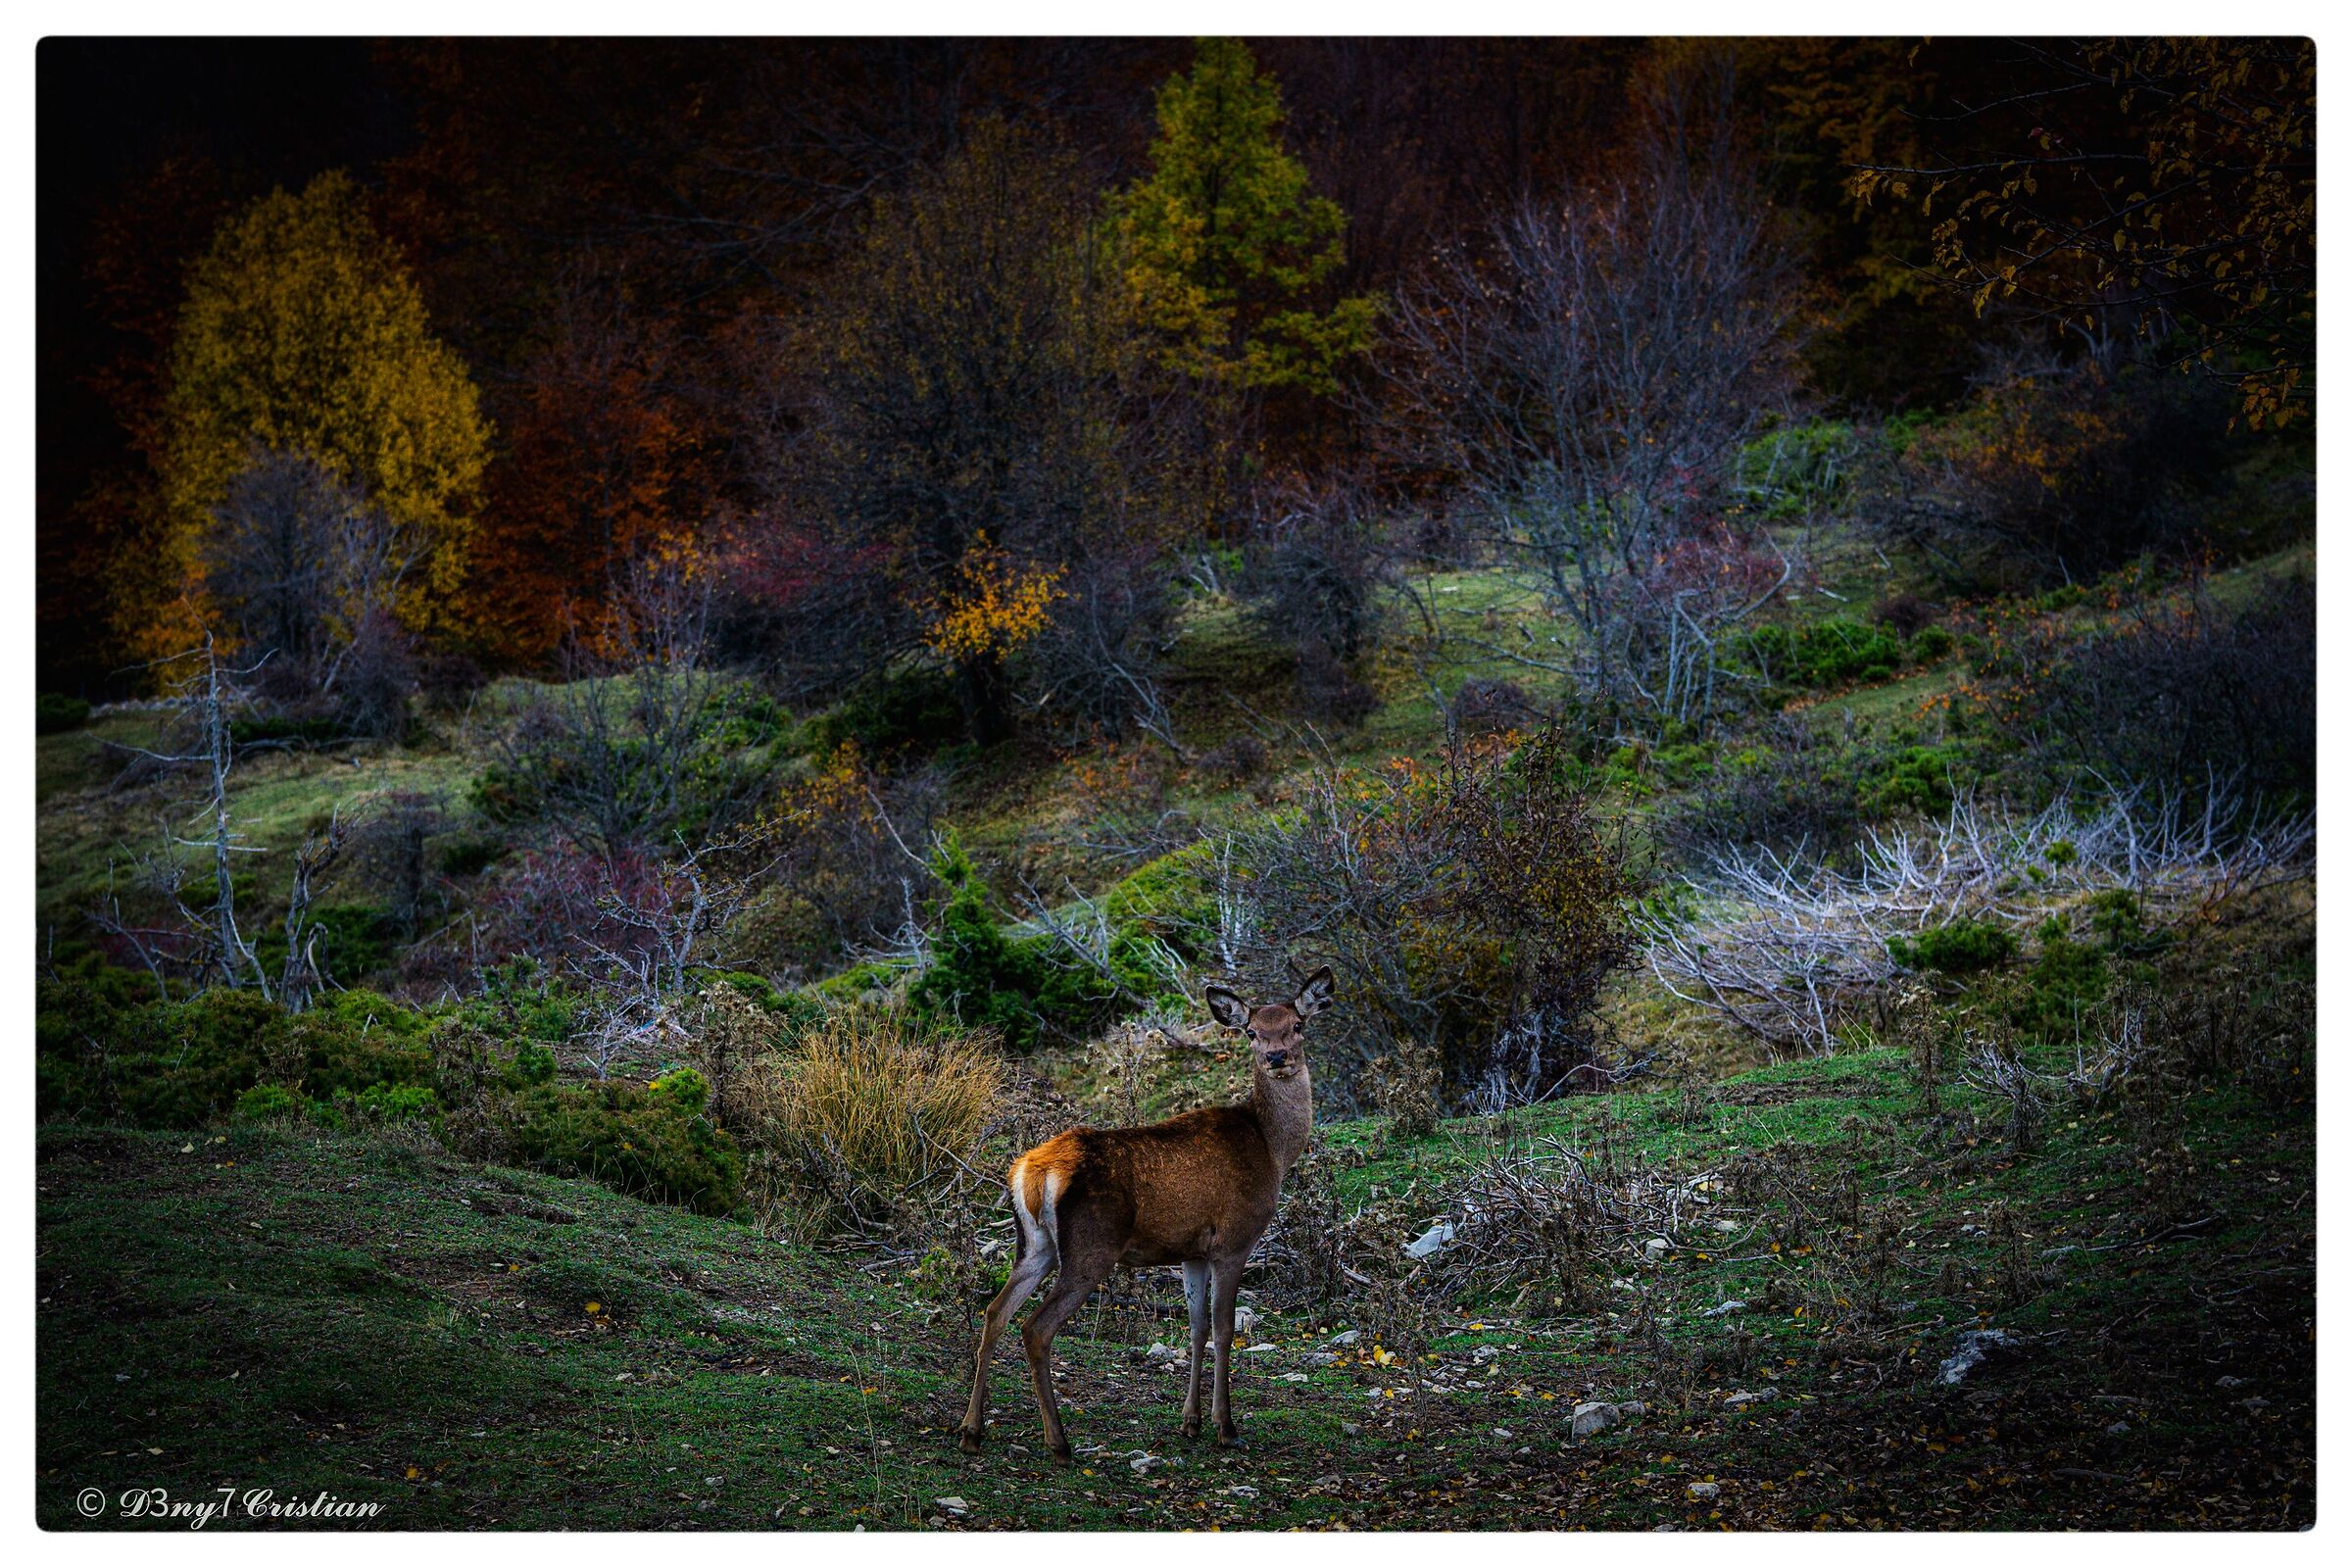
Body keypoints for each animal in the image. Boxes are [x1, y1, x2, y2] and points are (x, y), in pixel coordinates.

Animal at [959, 966, 1334, 1459]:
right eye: (1252, 1031)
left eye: (1298, 1024)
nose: (1276, 1057)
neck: (1272, 1150)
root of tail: (1034, 1172)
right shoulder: (1234, 1239)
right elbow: (1224, 1329)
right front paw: (1225, 1426)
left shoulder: (1193, 1251)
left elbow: (1195, 1329)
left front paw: (1190, 1421)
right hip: (1091, 1248)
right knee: (1035, 1328)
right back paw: (1058, 1441)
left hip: (1034, 1245)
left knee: (994, 1313)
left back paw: (971, 1430)